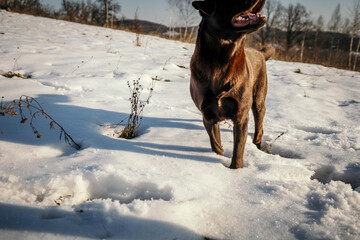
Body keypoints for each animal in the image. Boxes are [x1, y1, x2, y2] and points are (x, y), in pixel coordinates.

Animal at [190, 0, 274, 169]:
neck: (222, 62)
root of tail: (260, 52)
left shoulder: (241, 116)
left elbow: (238, 152)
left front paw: (235, 170)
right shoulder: (208, 116)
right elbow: (215, 144)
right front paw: (219, 157)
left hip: (258, 100)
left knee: (259, 129)